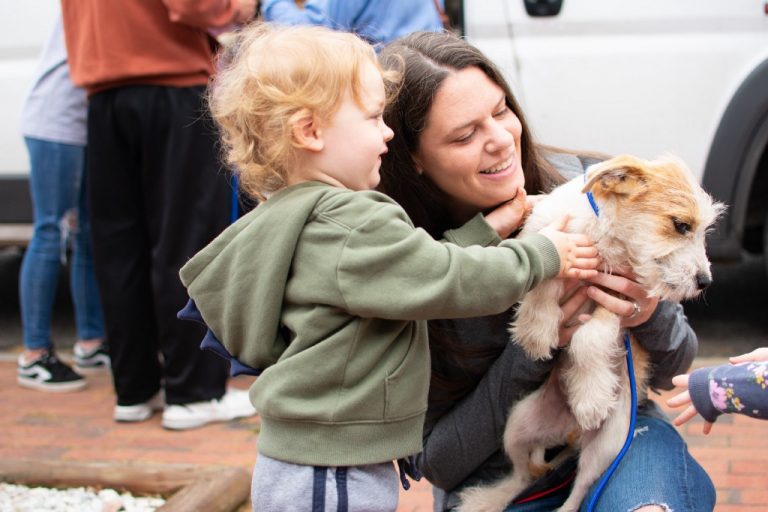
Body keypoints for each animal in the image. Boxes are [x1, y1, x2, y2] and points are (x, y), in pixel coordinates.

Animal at [460, 155, 724, 512]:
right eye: (681, 225)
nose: (704, 281)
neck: (603, 237)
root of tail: (569, 431)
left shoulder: (619, 298)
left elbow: (589, 338)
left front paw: (589, 398)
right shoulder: (545, 235)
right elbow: (545, 277)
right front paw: (536, 331)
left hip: (608, 445)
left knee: (580, 486)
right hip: (517, 425)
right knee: (521, 475)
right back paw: (487, 499)